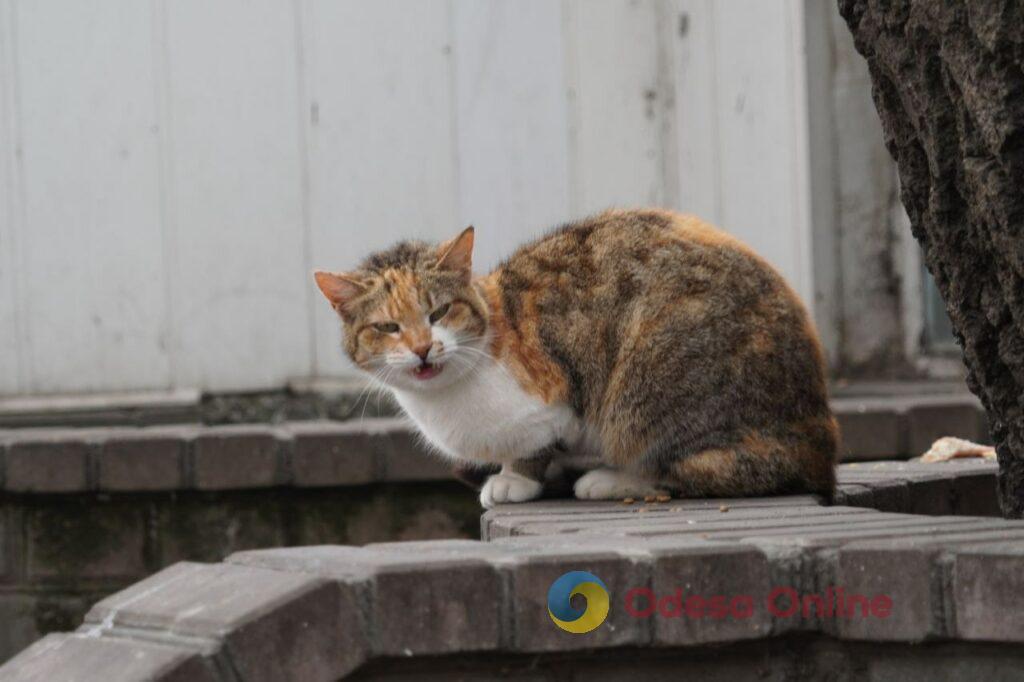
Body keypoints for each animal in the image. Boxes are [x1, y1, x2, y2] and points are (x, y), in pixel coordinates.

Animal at [315, 209, 835, 507]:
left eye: (439, 312)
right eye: (388, 327)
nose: (423, 347)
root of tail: (819, 431)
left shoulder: (549, 402)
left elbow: (532, 446)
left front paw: (514, 479)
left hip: (652, 386)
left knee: (707, 471)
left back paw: (611, 480)